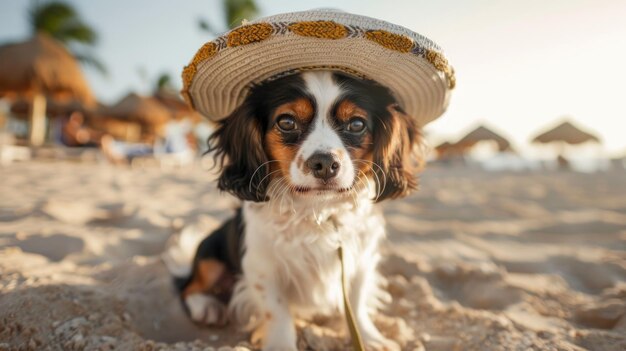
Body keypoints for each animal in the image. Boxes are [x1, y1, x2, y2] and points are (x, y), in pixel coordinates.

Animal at [173, 70, 422, 350]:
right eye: (287, 122)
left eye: (356, 124)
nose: (325, 163)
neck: (318, 211)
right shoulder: (262, 267)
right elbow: (278, 312)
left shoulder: (361, 260)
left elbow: (357, 303)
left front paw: (370, 339)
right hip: (210, 253)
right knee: (187, 286)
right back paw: (206, 306)